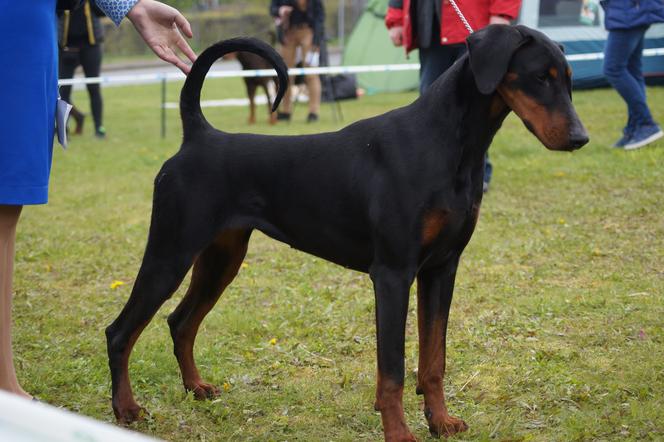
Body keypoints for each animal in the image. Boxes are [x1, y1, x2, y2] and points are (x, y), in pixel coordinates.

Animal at [106, 25, 588, 440]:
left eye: (567, 80)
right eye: (539, 78)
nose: (580, 138)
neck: (449, 143)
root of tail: (198, 136)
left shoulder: (441, 270)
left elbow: (434, 359)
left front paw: (441, 421)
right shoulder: (392, 274)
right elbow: (392, 369)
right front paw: (399, 433)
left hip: (221, 259)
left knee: (181, 322)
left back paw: (196, 389)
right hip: (169, 254)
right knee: (120, 331)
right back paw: (126, 409)